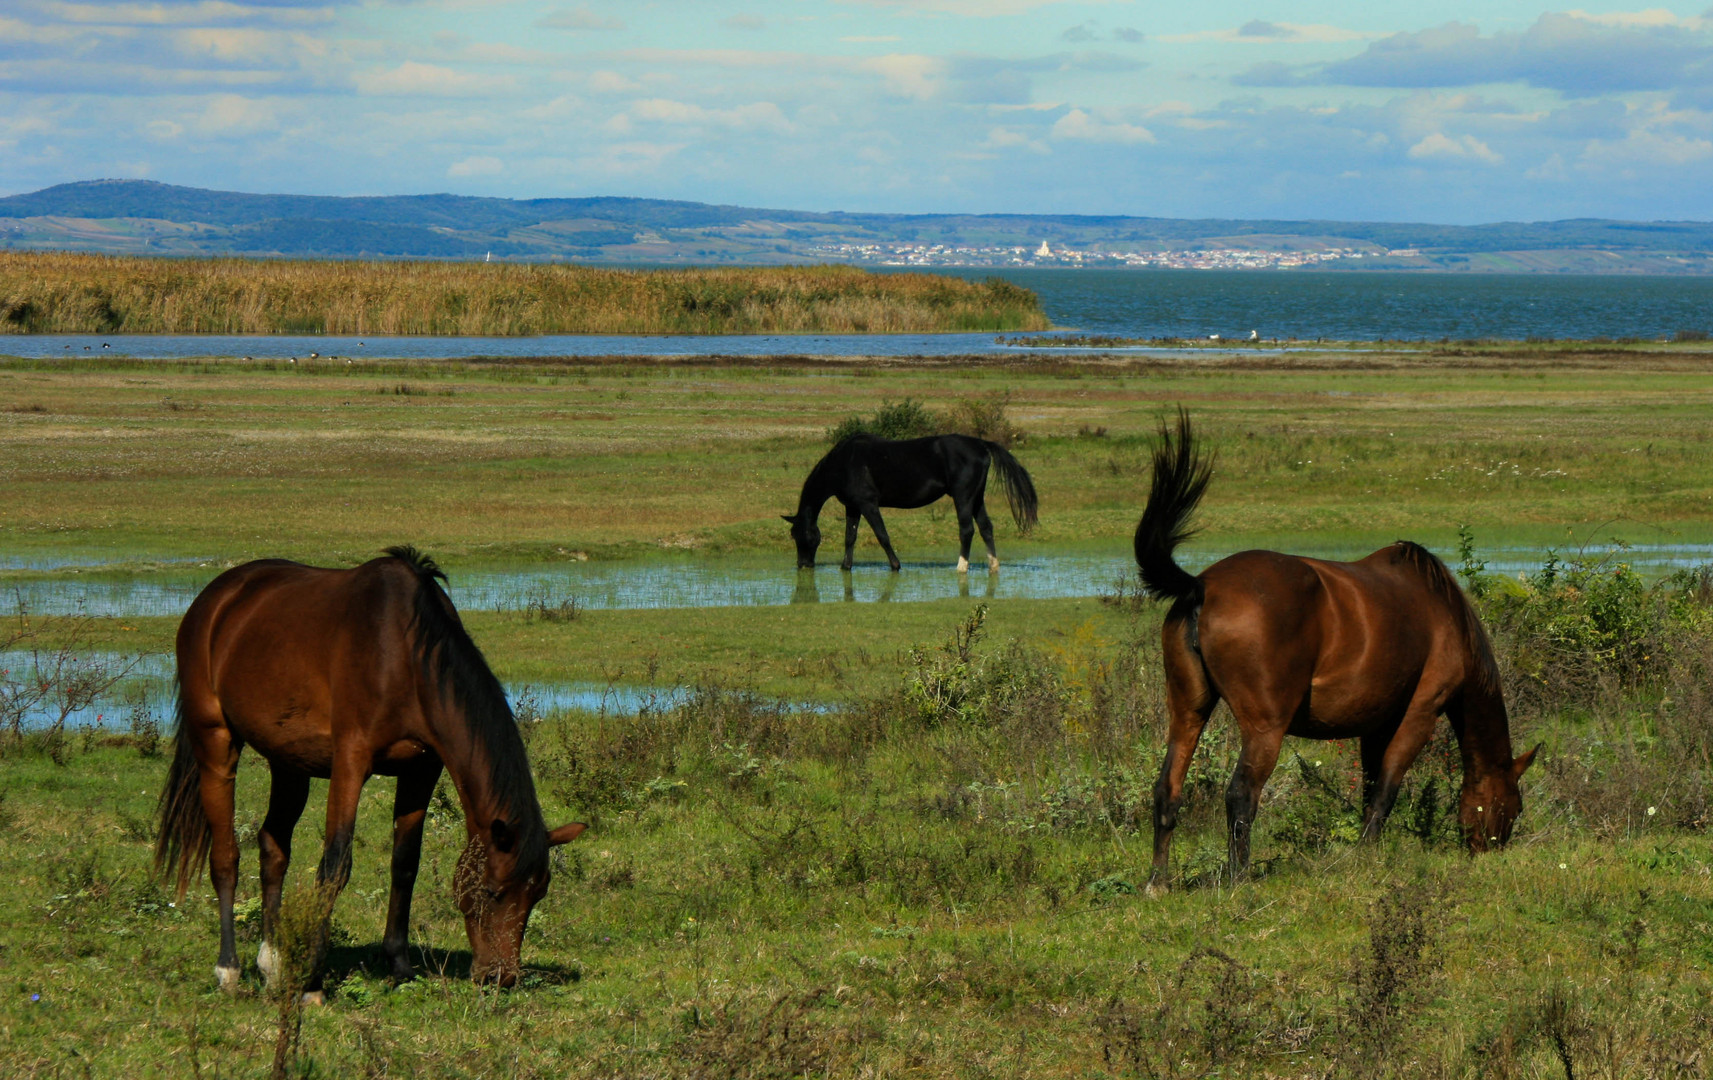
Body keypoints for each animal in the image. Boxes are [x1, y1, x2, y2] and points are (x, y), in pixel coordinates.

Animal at [161, 545, 589, 994]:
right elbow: (335, 865)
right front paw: (312, 983)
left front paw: (399, 965)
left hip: (288, 762)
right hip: (215, 744)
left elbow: (405, 863)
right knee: (225, 857)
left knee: (273, 849)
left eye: (537, 894)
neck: (405, 655)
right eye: (492, 891)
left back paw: (272, 962)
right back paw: (229, 969)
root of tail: (216, 598)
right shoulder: (351, 762)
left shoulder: (421, 769)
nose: (500, 977)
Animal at [784, 433, 1034, 576]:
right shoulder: (853, 507)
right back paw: (993, 566)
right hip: (977, 498)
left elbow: (882, 535)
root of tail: (981, 444)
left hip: (963, 497)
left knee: (967, 530)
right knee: (985, 528)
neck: (845, 462)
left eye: (799, 534)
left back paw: (961, 567)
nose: (803, 564)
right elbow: (850, 537)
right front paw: (846, 567)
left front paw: (895, 565)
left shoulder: (868, 504)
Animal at [1137, 409, 1541, 884]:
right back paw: (1238, 878)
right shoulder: (1420, 714)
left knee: (1167, 790)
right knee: (1241, 795)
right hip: (1264, 728)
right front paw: (1367, 856)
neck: (1443, 613)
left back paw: (1157, 881)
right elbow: (1386, 789)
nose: (1489, 853)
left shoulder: (1376, 723)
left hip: (1189, 709)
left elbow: (1369, 787)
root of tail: (1200, 585)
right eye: (1514, 807)